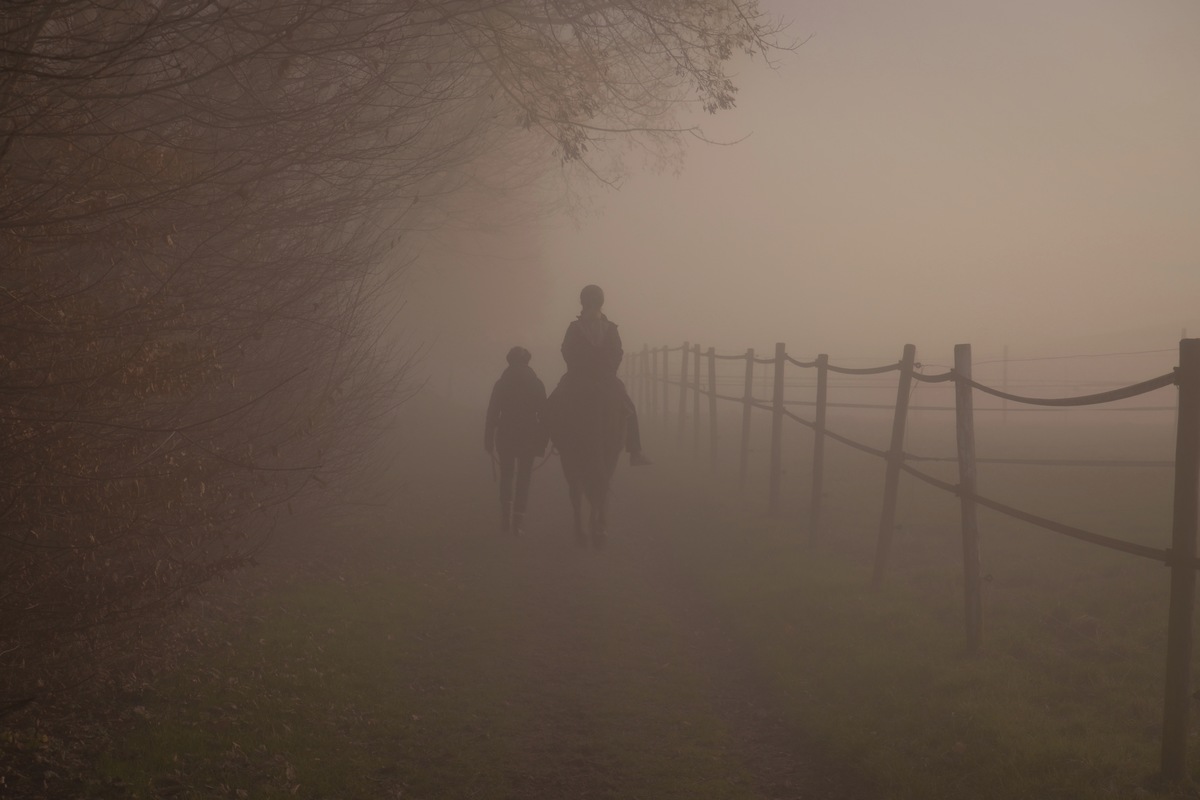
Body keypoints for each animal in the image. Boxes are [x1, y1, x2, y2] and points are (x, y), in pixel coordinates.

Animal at [549, 379, 633, 546]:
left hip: (572, 456)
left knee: (582, 490)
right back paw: (596, 531)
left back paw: (584, 533)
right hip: (602, 453)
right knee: (597, 487)